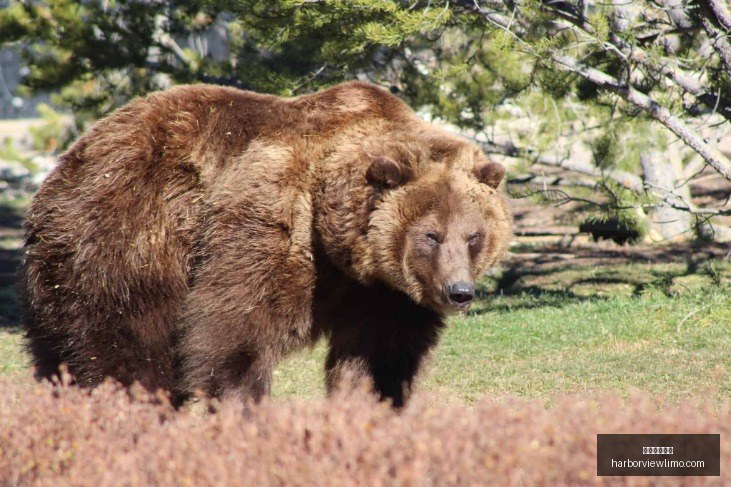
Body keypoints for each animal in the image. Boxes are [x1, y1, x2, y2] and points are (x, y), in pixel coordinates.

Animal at [20, 81, 512, 407]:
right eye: (431, 234)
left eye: (474, 235)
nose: (459, 292)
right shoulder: (270, 216)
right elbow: (235, 329)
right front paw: (244, 404)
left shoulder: (386, 293)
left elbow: (378, 357)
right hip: (125, 241)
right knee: (122, 347)